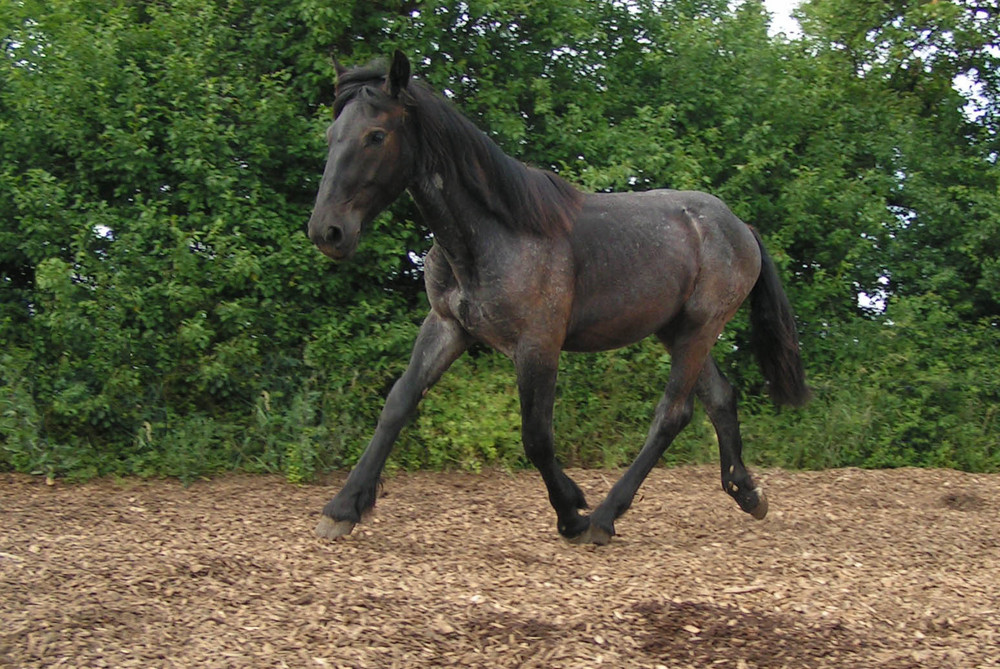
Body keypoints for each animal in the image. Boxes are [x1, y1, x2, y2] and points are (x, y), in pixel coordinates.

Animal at [308, 51, 808, 544]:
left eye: (376, 135)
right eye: (332, 135)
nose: (327, 232)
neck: (493, 235)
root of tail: (740, 227)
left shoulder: (538, 344)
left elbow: (536, 436)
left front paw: (570, 511)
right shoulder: (447, 326)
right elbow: (399, 402)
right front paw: (342, 508)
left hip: (701, 327)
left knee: (672, 413)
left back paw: (604, 517)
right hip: (677, 330)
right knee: (717, 397)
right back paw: (746, 492)